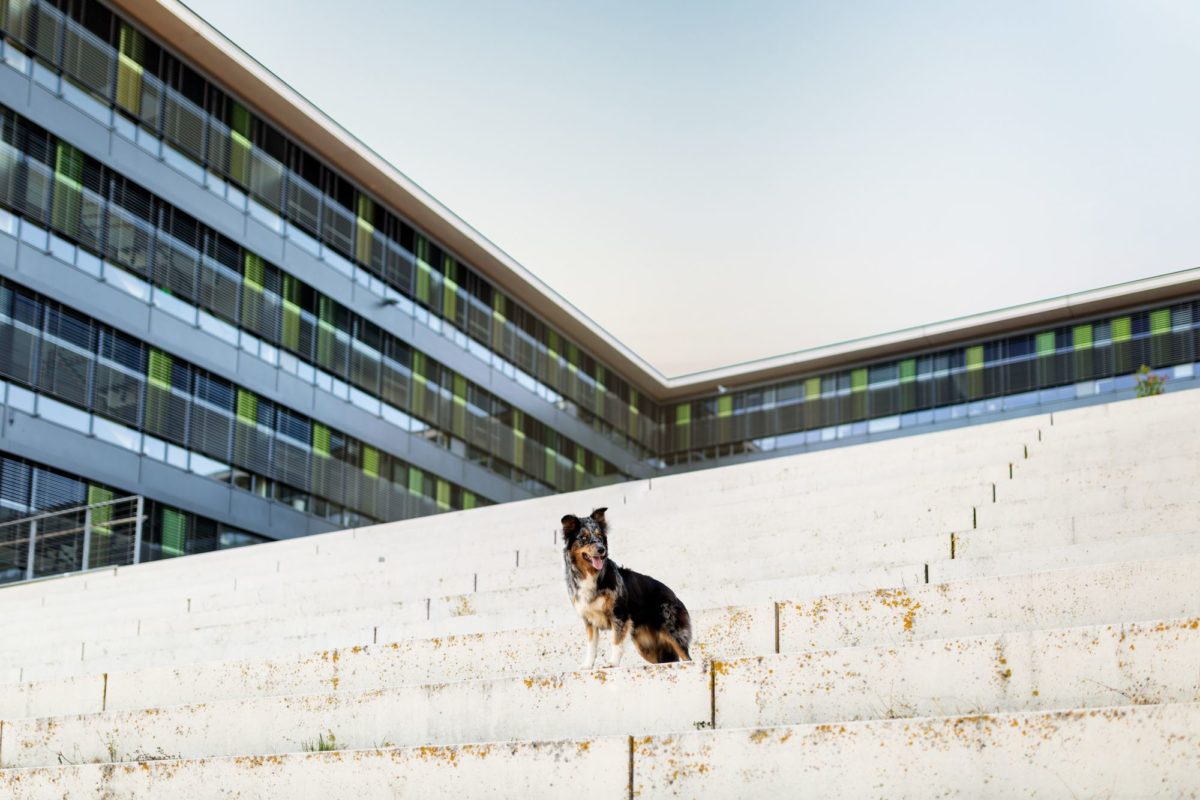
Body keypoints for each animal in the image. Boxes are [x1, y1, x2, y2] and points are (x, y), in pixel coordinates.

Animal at [561, 506, 696, 671]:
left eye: (600, 536)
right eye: (584, 538)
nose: (601, 549)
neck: (591, 575)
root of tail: (674, 596)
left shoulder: (619, 615)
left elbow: (616, 642)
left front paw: (612, 663)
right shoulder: (589, 620)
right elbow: (591, 646)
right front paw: (587, 665)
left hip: (673, 632)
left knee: (687, 656)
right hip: (647, 648)